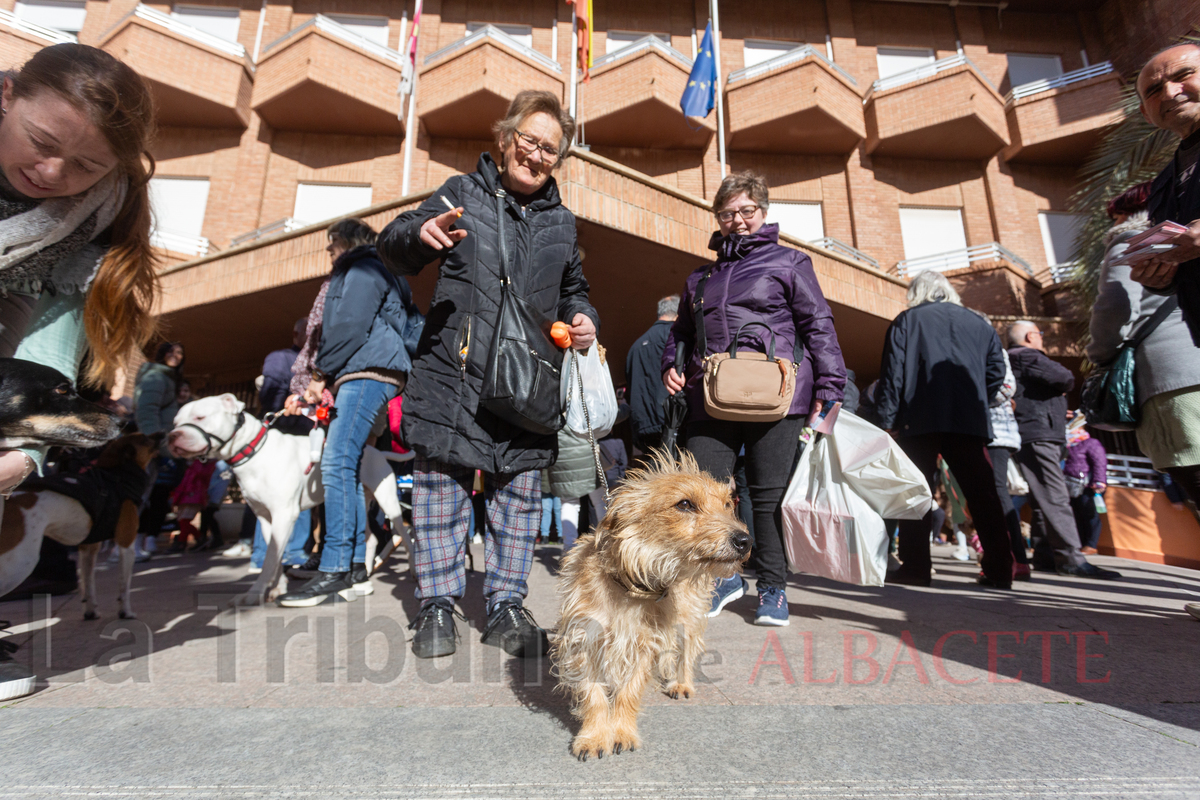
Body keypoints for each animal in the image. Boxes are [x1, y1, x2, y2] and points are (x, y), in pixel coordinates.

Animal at [552, 453, 748, 762]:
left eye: (728, 505)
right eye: (684, 504)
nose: (745, 541)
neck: (630, 587)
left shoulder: (644, 644)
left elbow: (629, 692)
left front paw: (622, 732)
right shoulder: (583, 640)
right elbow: (593, 694)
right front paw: (594, 736)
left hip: (689, 619)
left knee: (686, 652)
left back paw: (681, 683)